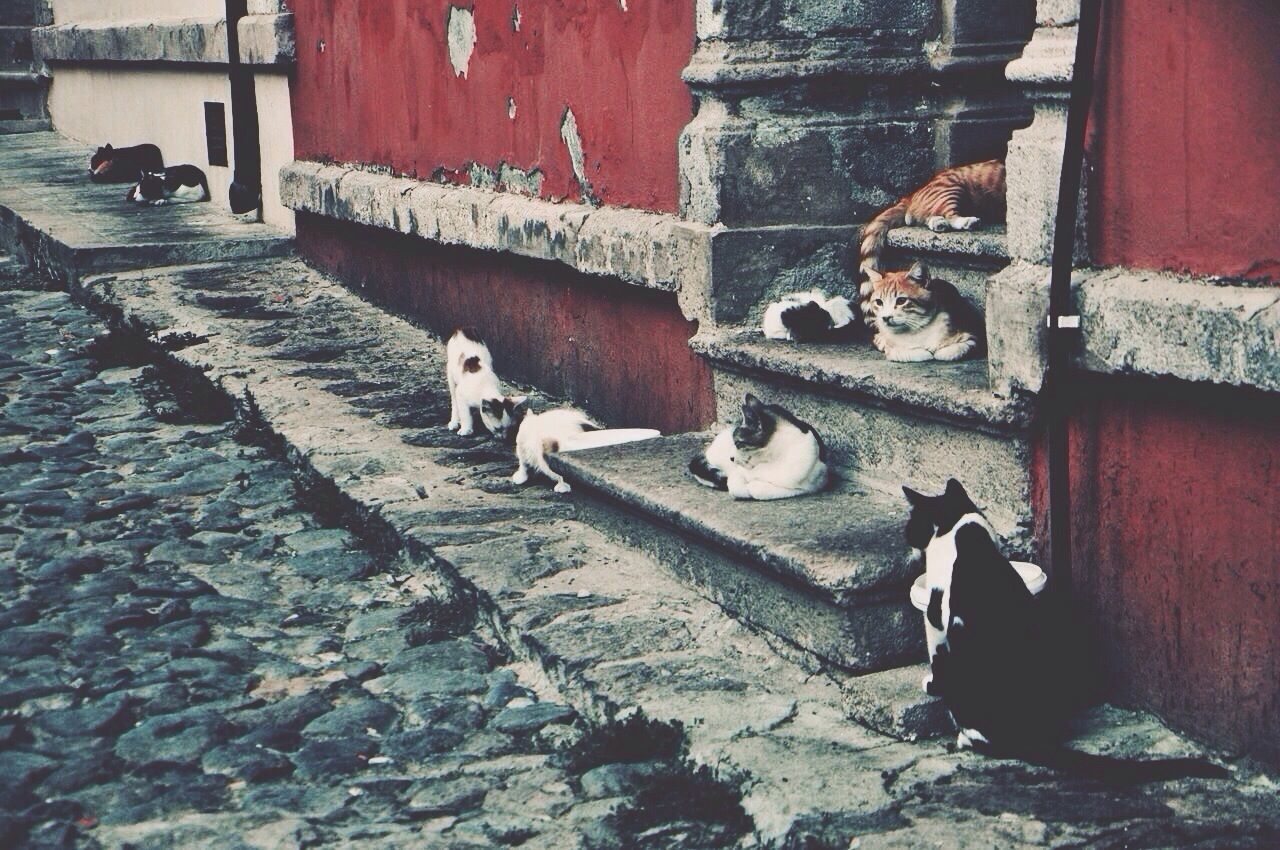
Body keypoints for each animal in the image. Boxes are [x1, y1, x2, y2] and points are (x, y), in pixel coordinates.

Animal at [691, 394, 829, 501]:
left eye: (738, 443)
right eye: (734, 441)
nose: (731, 458)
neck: (769, 460)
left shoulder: (811, 485)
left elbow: (758, 490)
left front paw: (753, 486)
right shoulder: (737, 472)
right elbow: (734, 485)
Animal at [855, 158, 1003, 272]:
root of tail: (910, 196)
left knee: (928, 217)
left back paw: (939, 223)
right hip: (951, 190)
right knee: (950, 216)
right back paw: (968, 221)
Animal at [901, 478, 1228, 783]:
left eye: (911, 526)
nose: (907, 543)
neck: (960, 528)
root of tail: (1027, 738)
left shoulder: (937, 617)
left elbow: (936, 655)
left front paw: (930, 683)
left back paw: (964, 738)